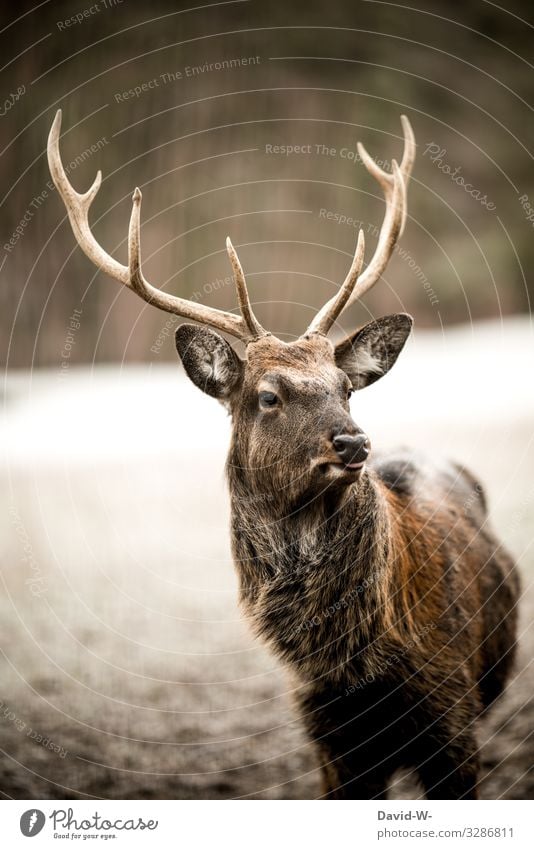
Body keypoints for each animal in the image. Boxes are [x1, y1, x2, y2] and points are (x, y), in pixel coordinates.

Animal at [49, 109, 520, 800]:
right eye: (268, 395)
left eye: (346, 386)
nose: (354, 441)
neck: (355, 662)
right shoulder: (325, 730)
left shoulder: (450, 707)